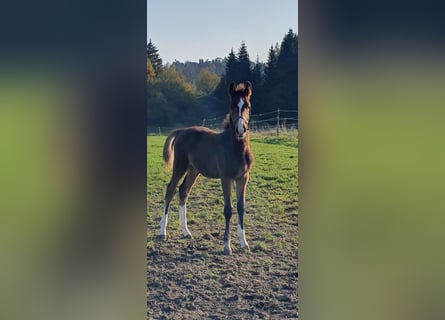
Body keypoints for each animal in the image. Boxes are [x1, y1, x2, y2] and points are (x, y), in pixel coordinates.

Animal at [158, 81, 253, 254]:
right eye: (232, 106)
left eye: (247, 106)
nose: (240, 129)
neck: (237, 149)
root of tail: (182, 131)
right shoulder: (226, 177)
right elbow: (228, 209)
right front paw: (226, 246)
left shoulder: (243, 177)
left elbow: (241, 207)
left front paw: (244, 243)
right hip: (180, 166)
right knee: (170, 190)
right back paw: (162, 232)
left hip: (194, 170)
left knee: (184, 191)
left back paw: (186, 231)